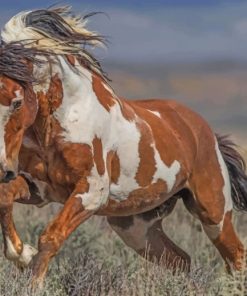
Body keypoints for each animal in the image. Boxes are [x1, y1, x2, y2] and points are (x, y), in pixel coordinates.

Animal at [0, 5, 247, 286]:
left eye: (17, 102)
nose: (3, 169)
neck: (59, 121)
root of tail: (206, 132)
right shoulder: (40, 188)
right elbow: (5, 198)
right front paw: (22, 254)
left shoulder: (91, 193)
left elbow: (50, 236)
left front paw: (33, 282)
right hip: (136, 226)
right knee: (180, 259)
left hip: (214, 213)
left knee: (235, 256)